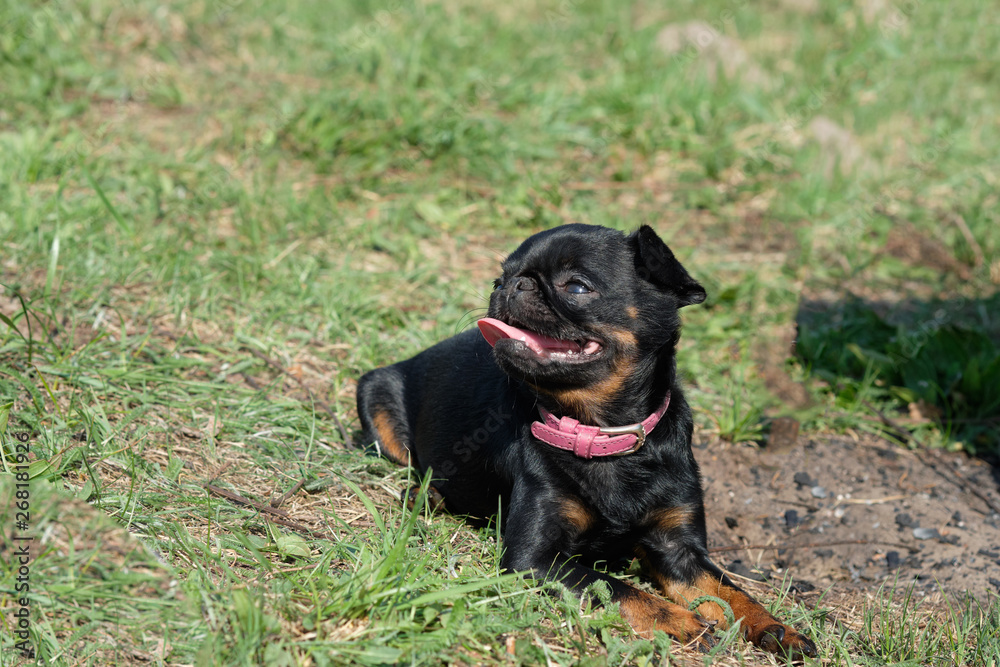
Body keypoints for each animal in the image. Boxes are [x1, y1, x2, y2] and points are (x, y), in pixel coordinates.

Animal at [356, 226, 816, 656]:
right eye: (497, 280)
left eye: (576, 287)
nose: (511, 285)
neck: (604, 434)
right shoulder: (535, 559)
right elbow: (618, 588)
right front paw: (677, 619)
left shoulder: (681, 551)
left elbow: (731, 592)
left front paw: (777, 627)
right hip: (374, 395)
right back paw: (427, 496)